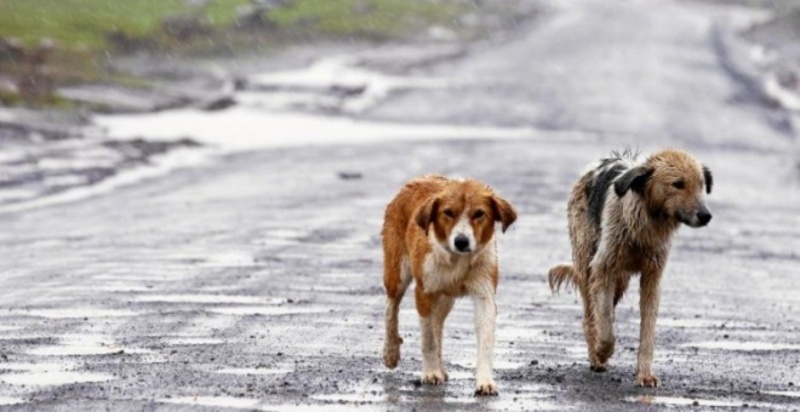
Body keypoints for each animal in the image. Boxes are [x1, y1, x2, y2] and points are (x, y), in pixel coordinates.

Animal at [382, 174, 520, 396]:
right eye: (448, 212)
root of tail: (418, 179)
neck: (457, 261)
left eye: (479, 213)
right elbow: (428, 339)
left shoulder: (484, 294)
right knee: (391, 308)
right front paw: (430, 373)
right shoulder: (424, 292)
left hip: (446, 298)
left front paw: (485, 381)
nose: (461, 241)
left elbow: (485, 340)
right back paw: (390, 352)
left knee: (438, 323)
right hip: (398, 274)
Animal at [552, 150, 712, 388]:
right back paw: (596, 357)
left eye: (701, 185)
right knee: (590, 316)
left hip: (621, 280)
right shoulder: (602, 268)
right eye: (678, 184)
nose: (706, 215)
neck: (645, 225)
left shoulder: (652, 278)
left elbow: (647, 331)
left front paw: (645, 374)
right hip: (588, 265)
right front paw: (602, 350)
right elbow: (605, 326)